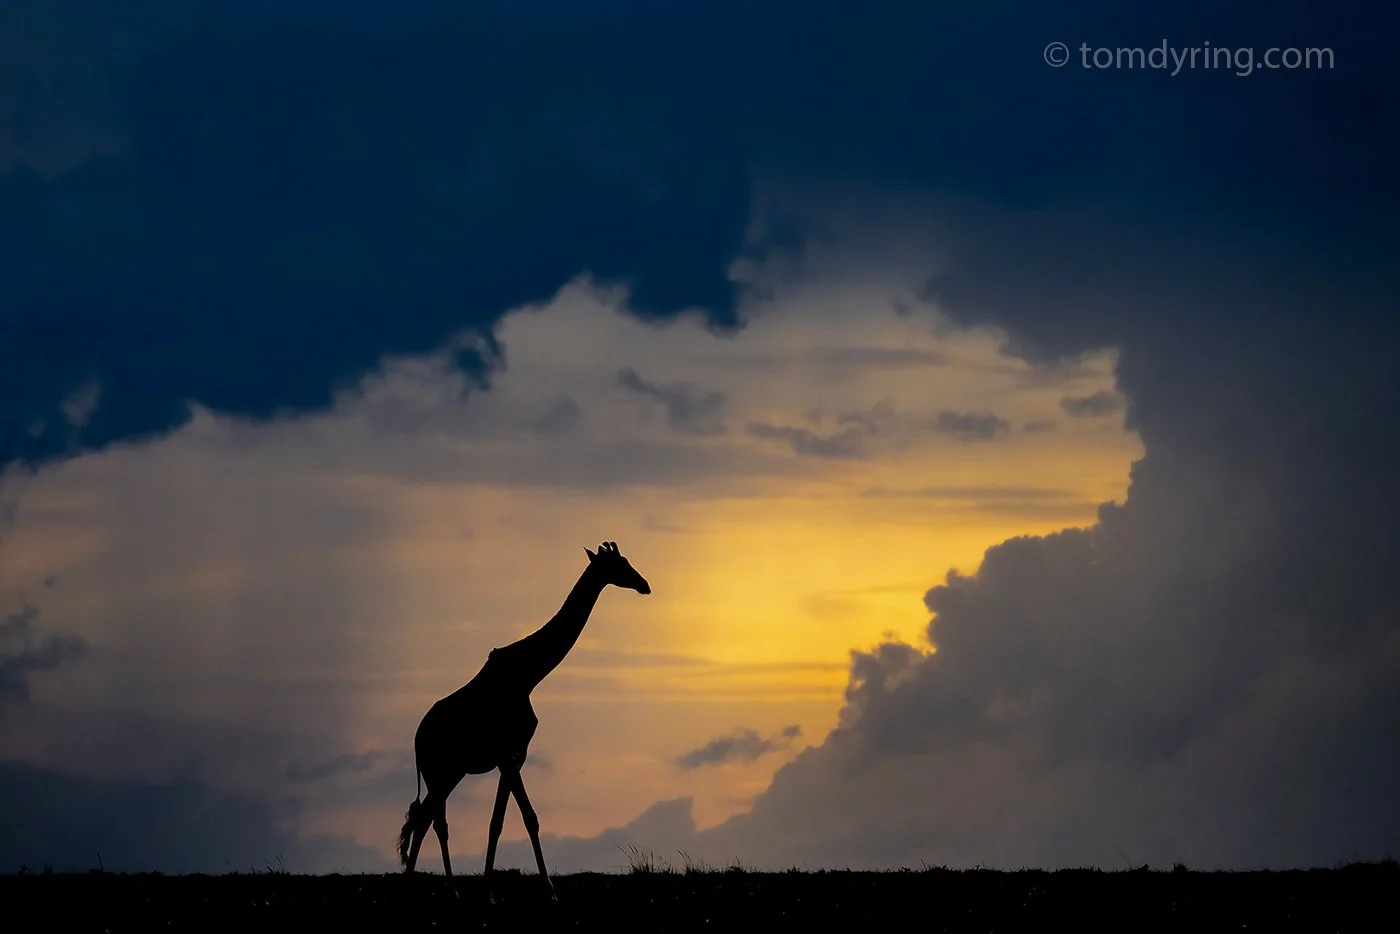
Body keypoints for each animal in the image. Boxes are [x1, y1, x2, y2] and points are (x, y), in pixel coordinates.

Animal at [396, 541, 651, 901]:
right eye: (618, 564)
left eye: (626, 560)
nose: (645, 584)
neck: (528, 674)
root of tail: (417, 740)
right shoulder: (507, 754)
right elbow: (525, 817)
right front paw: (548, 888)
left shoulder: (516, 755)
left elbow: (501, 822)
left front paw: (491, 889)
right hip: (439, 771)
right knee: (430, 820)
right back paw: (437, 889)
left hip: (450, 773)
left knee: (430, 818)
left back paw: (440, 888)